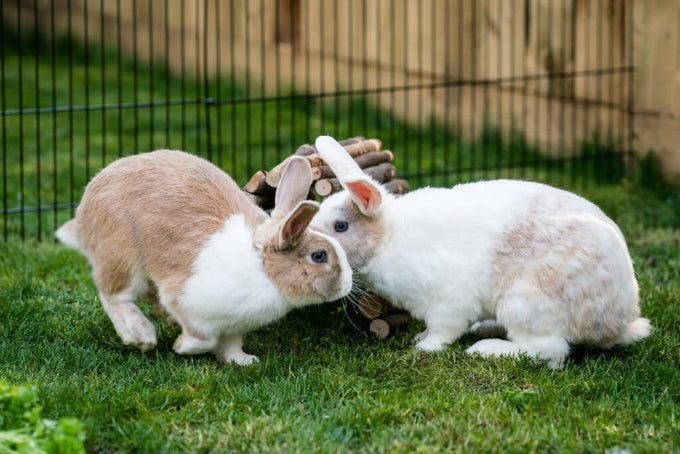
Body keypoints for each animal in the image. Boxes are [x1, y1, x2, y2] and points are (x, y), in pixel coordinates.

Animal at [56, 150, 352, 365]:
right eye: (318, 256)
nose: (348, 284)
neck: (262, 266)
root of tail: (84, 212)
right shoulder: (184, 298)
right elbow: (203, 339)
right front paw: (182, 347)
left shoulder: (233, 325)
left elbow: (230, 344)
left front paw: (242, 361)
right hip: (121, 256)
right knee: (113, 295)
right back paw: (140, 335)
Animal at [310, 135, 651, 368]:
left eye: (341, 226)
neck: (389, 237)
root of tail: (620, 321)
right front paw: (420, 338)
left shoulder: (447, 304)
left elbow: (442, 331)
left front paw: (423, 347)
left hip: (525, 302)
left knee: (549, 352)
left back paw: (487, 349)